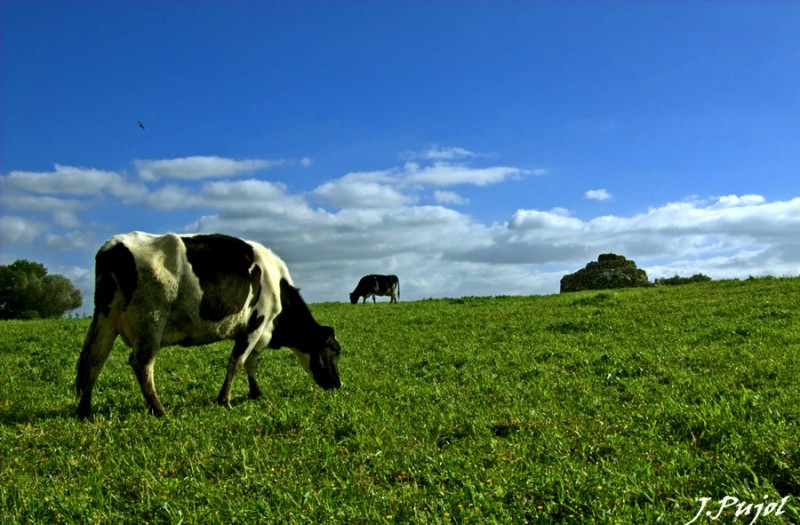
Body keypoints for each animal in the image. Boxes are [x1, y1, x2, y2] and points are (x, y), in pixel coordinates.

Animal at [78, 232, 344, 418]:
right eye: (334, 350)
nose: (338, 385)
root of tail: (113, 246)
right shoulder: (256, 323)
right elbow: (237, 362)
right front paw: (225, 400)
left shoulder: (257, 331)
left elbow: (251, 363)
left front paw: (255, 394)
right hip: (150, 319)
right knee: (141, 363)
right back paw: (158, 410)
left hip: (105, 316)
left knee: (94, 358)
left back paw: (84, 410)